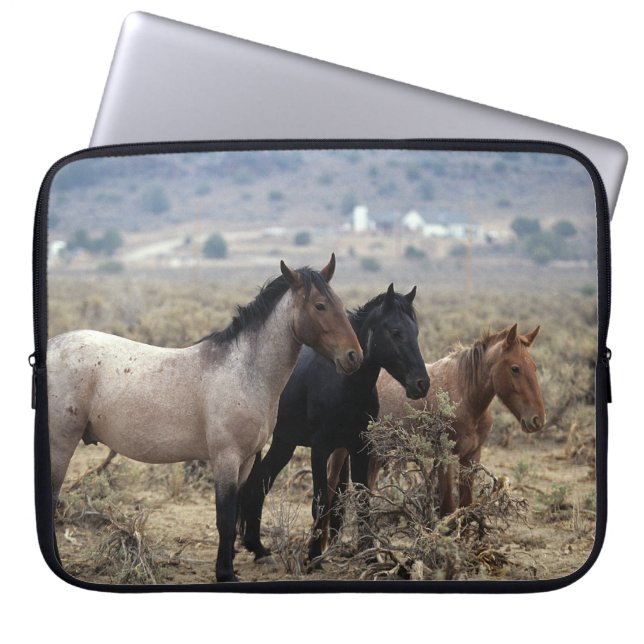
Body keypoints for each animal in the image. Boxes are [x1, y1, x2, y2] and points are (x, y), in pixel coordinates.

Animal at [47, 255, 363, 583]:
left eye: (339, 303)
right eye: (320, 306)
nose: (354, 356)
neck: (244, 371)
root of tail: (51, 346)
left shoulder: (246, 461)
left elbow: (235, 511)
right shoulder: (226, 458)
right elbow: (224, 517)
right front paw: (225, 573)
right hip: (60, 443)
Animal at [238, 284, 430, 564]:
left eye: (416, 332)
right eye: (396, 332)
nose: (421, 383)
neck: (344, 386)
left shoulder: (359, 448)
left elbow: (361, 499)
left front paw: (370, 555)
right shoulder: (320, 449)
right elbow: (320, 500)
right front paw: (314, 554)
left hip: (284, 443)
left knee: (260, 482)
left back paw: (257, 547)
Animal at [334, 323, 545, 519]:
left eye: (534, 367)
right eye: (515, 368)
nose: (538, 419)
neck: (466, 396)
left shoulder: (471, 457)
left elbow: (466, 507)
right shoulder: (445, 457)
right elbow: (448, 508)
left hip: (376, 453)